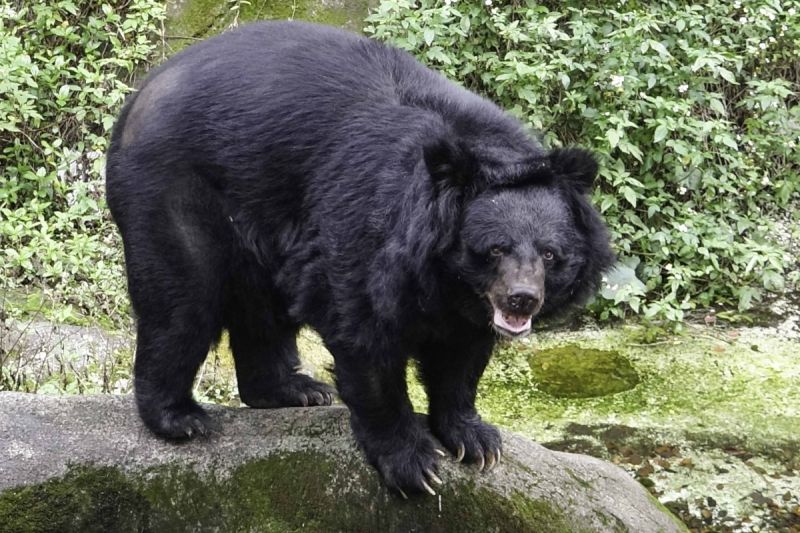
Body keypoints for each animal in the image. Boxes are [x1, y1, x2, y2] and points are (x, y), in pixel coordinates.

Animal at [104, 20, 612, 494]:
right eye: (495, 249)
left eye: (550, 254)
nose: (522, 299)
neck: (444, 277)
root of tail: (139, 94)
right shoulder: (366, 222)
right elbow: (364, 335)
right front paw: (414, 464)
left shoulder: (467, 303)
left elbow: (462, 356)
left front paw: (476, 440)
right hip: (174, 192)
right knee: (183, 304)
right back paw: (181, 419)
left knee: (262, 309)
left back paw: (296, 390)